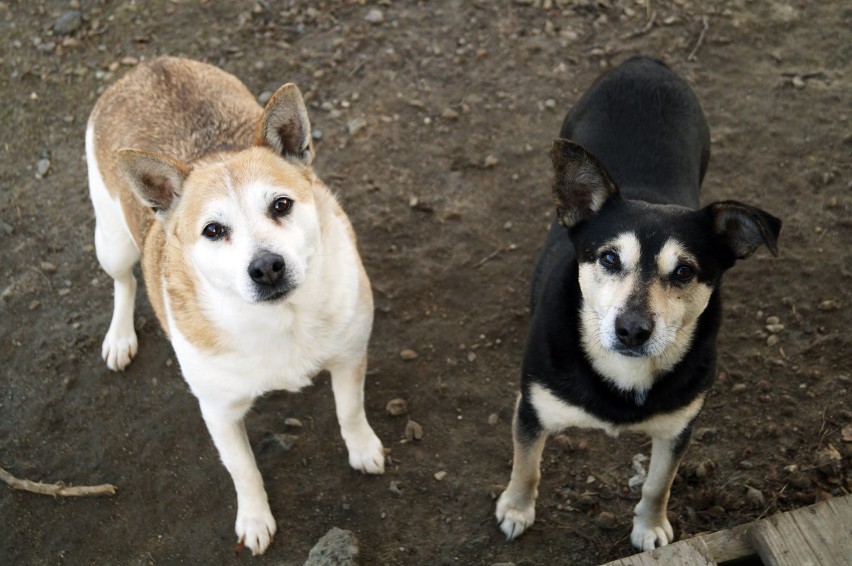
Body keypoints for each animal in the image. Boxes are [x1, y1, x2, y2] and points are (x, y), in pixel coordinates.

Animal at [85, 58, 384, 560]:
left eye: (281, 205)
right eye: (213, 230)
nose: (266, 267)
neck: (282, 320)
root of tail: (149, 65)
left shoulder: (348, 357)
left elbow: (349, 411)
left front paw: (362, 448)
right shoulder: (220, 412)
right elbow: (243, 470)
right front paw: (256, 519)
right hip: (112, 241)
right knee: (124, 281)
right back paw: (120, 337)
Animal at [496, 55, 784, 552]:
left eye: (684, 272)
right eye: (609, 258)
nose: (632, 330)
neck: (624, 371)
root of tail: (644, 61)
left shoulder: (680, 426)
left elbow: (658, 482)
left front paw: (650, 526)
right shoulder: (532, 406)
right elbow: (526, 465)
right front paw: (516, 508)